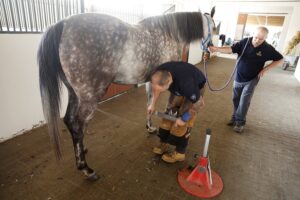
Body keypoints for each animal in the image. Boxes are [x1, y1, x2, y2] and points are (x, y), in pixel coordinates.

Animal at [38, 7, 216, 180]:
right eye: (214, 26)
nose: (210, 48)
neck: (168, 33)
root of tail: (63, 24)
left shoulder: (151, 81)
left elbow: (150, 103)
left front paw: (150, 127)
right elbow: (168, 105)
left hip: (74, 93)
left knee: (70, 121)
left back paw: (83, 150)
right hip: (89, 96)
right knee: (78, 124)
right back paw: (86, 168)